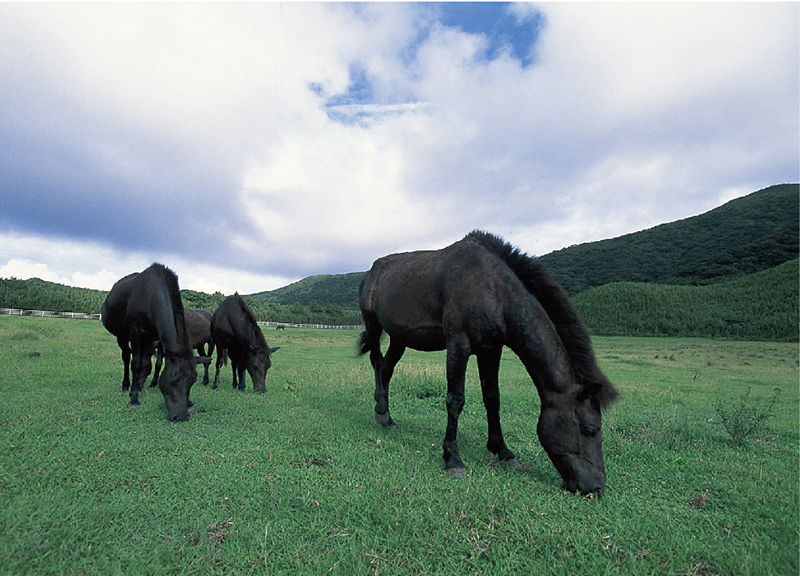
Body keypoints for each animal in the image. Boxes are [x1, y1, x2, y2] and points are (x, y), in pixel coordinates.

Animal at [358, 230, 620, 496]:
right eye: (591, 430)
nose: (597, 487)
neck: (493, 290)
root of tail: (372, 270)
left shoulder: (491, 350)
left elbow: (493, 399)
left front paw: (503, 451)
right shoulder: (458, 345)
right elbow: (455, 400)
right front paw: (452, 457)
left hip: (399, 337)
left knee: (387, 369)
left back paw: (386, 416)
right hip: (373, 325)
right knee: (376, 362)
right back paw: (382, 411)